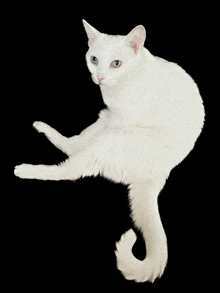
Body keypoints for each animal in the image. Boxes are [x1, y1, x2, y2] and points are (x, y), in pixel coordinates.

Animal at [14, 20, 205, 280]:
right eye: (94, 59)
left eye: (116, 63)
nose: (100, 77)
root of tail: (158, 176)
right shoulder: (110, 116)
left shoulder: (118, 122)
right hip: (104, 121)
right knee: (73, 146)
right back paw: (42, 128)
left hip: (110, 140)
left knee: (70, 168)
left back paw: (25, 169)